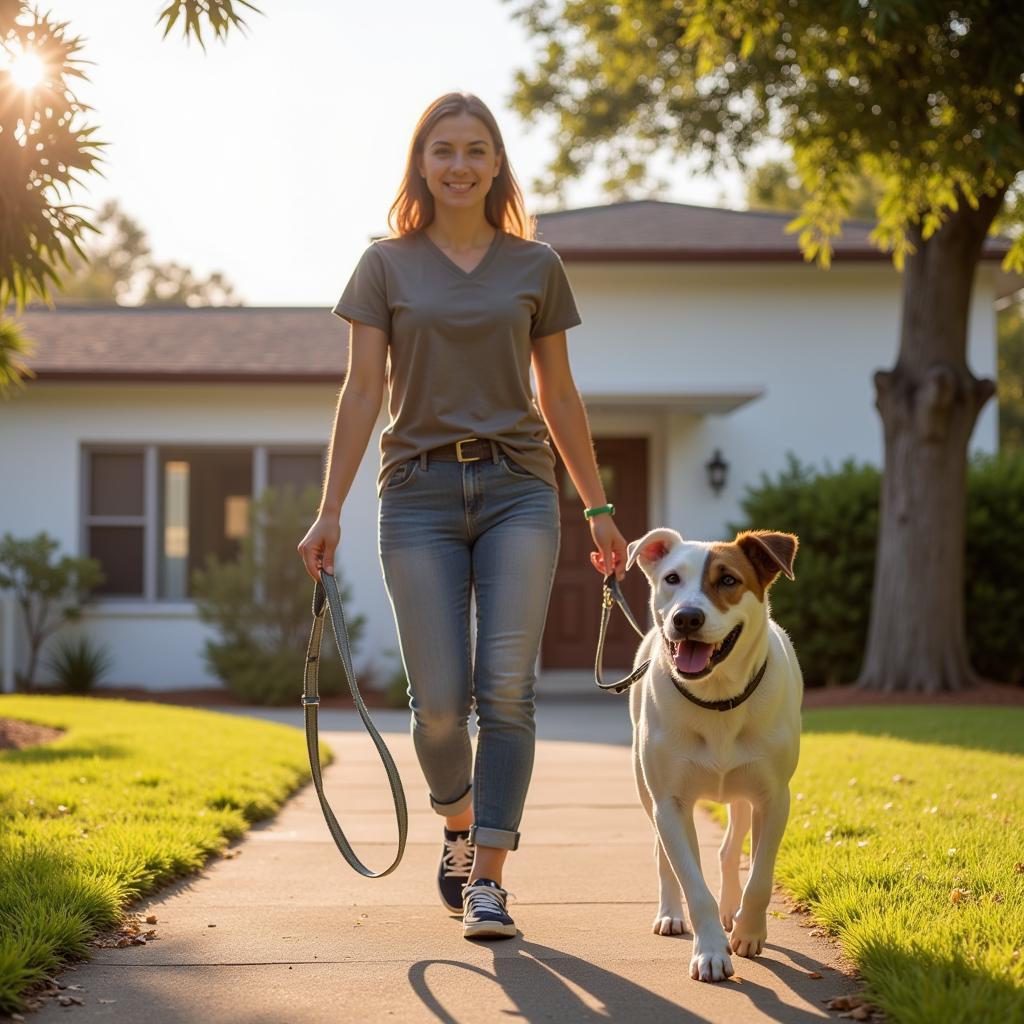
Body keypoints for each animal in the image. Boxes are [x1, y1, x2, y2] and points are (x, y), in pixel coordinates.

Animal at [618, 528, 802, 983]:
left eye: (729, 580)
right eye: (672, 578)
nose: (686, 618)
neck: (717, 698)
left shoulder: (775, 797)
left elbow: (760, 875)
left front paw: (749, 933)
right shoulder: (670, 803)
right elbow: (691, 879)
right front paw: (712, 953)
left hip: (741, 791)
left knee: (730, 846)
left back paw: (731, 910)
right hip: (645, 787)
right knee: (664, 855)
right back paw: (671, 913)